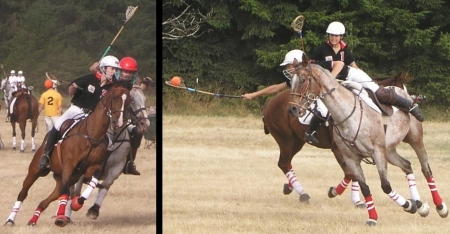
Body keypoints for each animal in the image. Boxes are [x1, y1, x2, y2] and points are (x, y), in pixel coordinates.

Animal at [4, 83, 132, 227]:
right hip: (35, 170)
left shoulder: (92, 167)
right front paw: (61, 217)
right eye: (114, 98)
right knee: (23, 193)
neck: (92, 134)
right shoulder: (69, 165)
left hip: (62, 178)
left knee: (45, 201)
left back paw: (33, 220)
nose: (118, 122)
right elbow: (68, 191)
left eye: (129, 101)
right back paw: (10, 220)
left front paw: (77, 204)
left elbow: (92, 183)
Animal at [286, 58, 448, 225]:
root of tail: (404, 92)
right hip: (389, 150)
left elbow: (385, 186)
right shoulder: (351, 158)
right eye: (291, 81)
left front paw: (408, 205)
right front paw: (373, 217)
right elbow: (364, 187)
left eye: (303, 80)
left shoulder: (377, 152)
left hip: (415, 140)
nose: (292, 109)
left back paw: (440, 207)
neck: (346, 115)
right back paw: (421, 206)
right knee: (407, 165)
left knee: (425, 169)